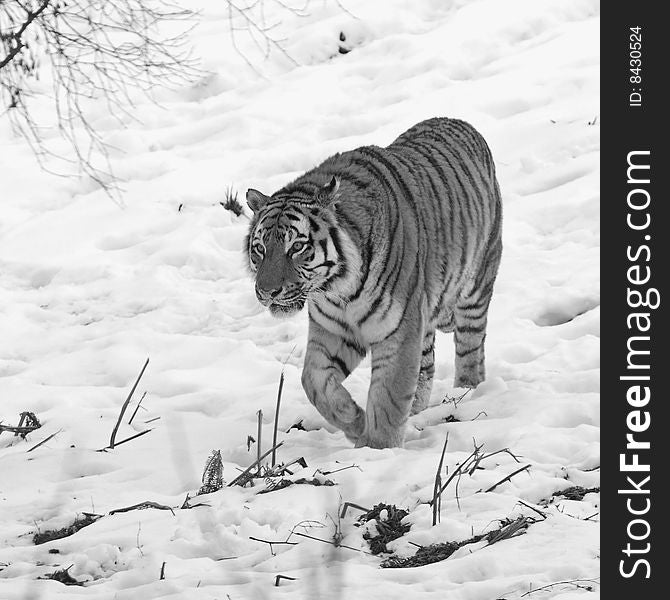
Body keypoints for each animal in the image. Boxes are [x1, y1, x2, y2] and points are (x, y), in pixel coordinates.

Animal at [247, 117, 504, 448]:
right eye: (260, 249)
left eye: (297, 247)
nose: (267, 292)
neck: (337, 289)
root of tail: (457, 120)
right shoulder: (334, 329)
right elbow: (314, 380)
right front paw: (355, 420)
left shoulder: (399, 329)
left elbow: (389, 396)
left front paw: (377, 448)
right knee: (426, 367)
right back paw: (417, 411)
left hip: (475, 288)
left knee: (470, 348)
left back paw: (467, 392)